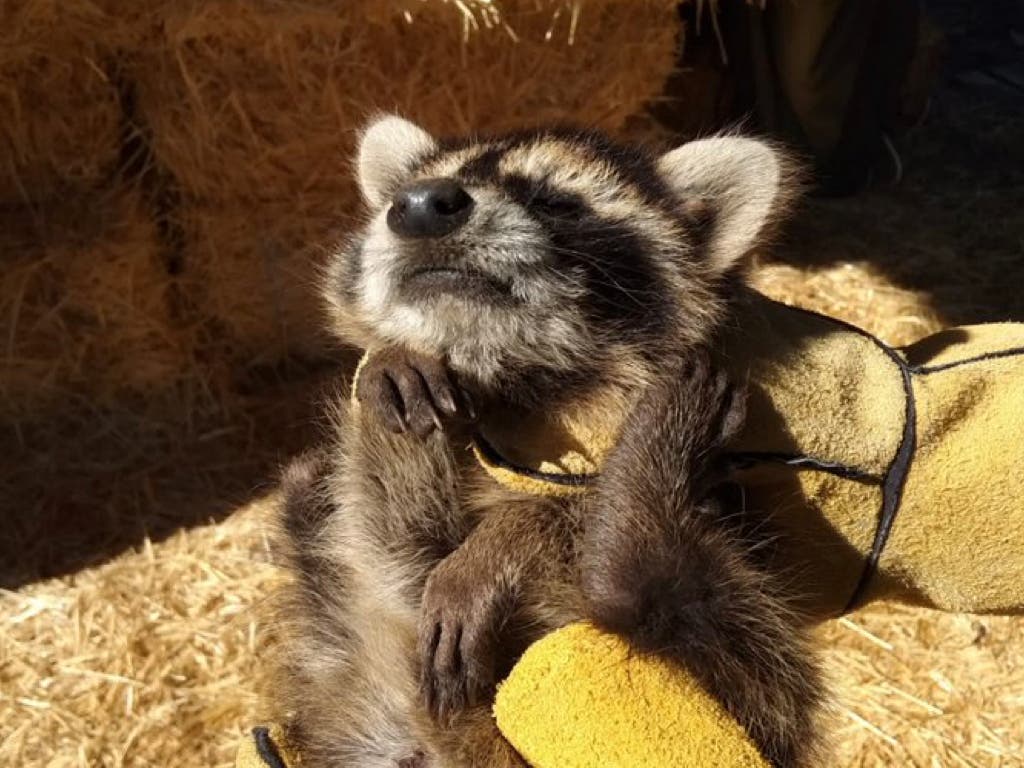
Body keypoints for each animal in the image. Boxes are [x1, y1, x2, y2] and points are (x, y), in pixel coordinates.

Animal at [274, 115, 823, 768]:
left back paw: (639, 521)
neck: (518, 388)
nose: (419, 206)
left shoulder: (730, 504)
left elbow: (555, 514)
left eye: (554, 202)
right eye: (397, 198)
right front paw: (391, 358)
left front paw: (517, 530)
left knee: (737, 644)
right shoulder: (389, 581)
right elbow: (387, 534)